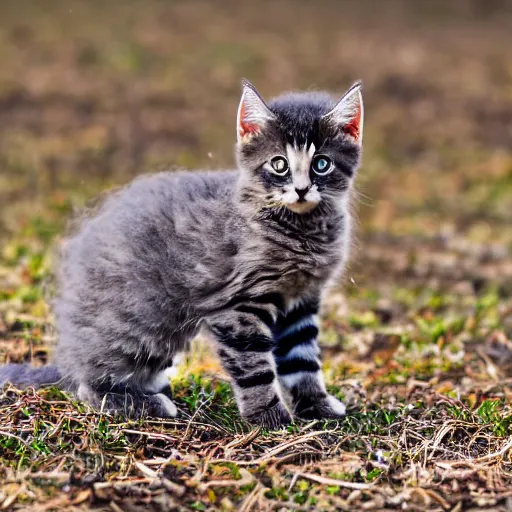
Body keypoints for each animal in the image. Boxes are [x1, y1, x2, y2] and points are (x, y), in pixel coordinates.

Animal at [0, 79, 364, 424]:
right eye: (279, 164)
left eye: (321, 164)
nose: (301, 189)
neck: (301, 232)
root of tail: (68, 356)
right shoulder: (238, 305)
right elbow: (254, 367)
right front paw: (269, 417)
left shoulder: (301, 302)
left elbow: (303, 361)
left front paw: (316, 406)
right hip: (145, 328)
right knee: (87, 385)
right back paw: (149, 404)